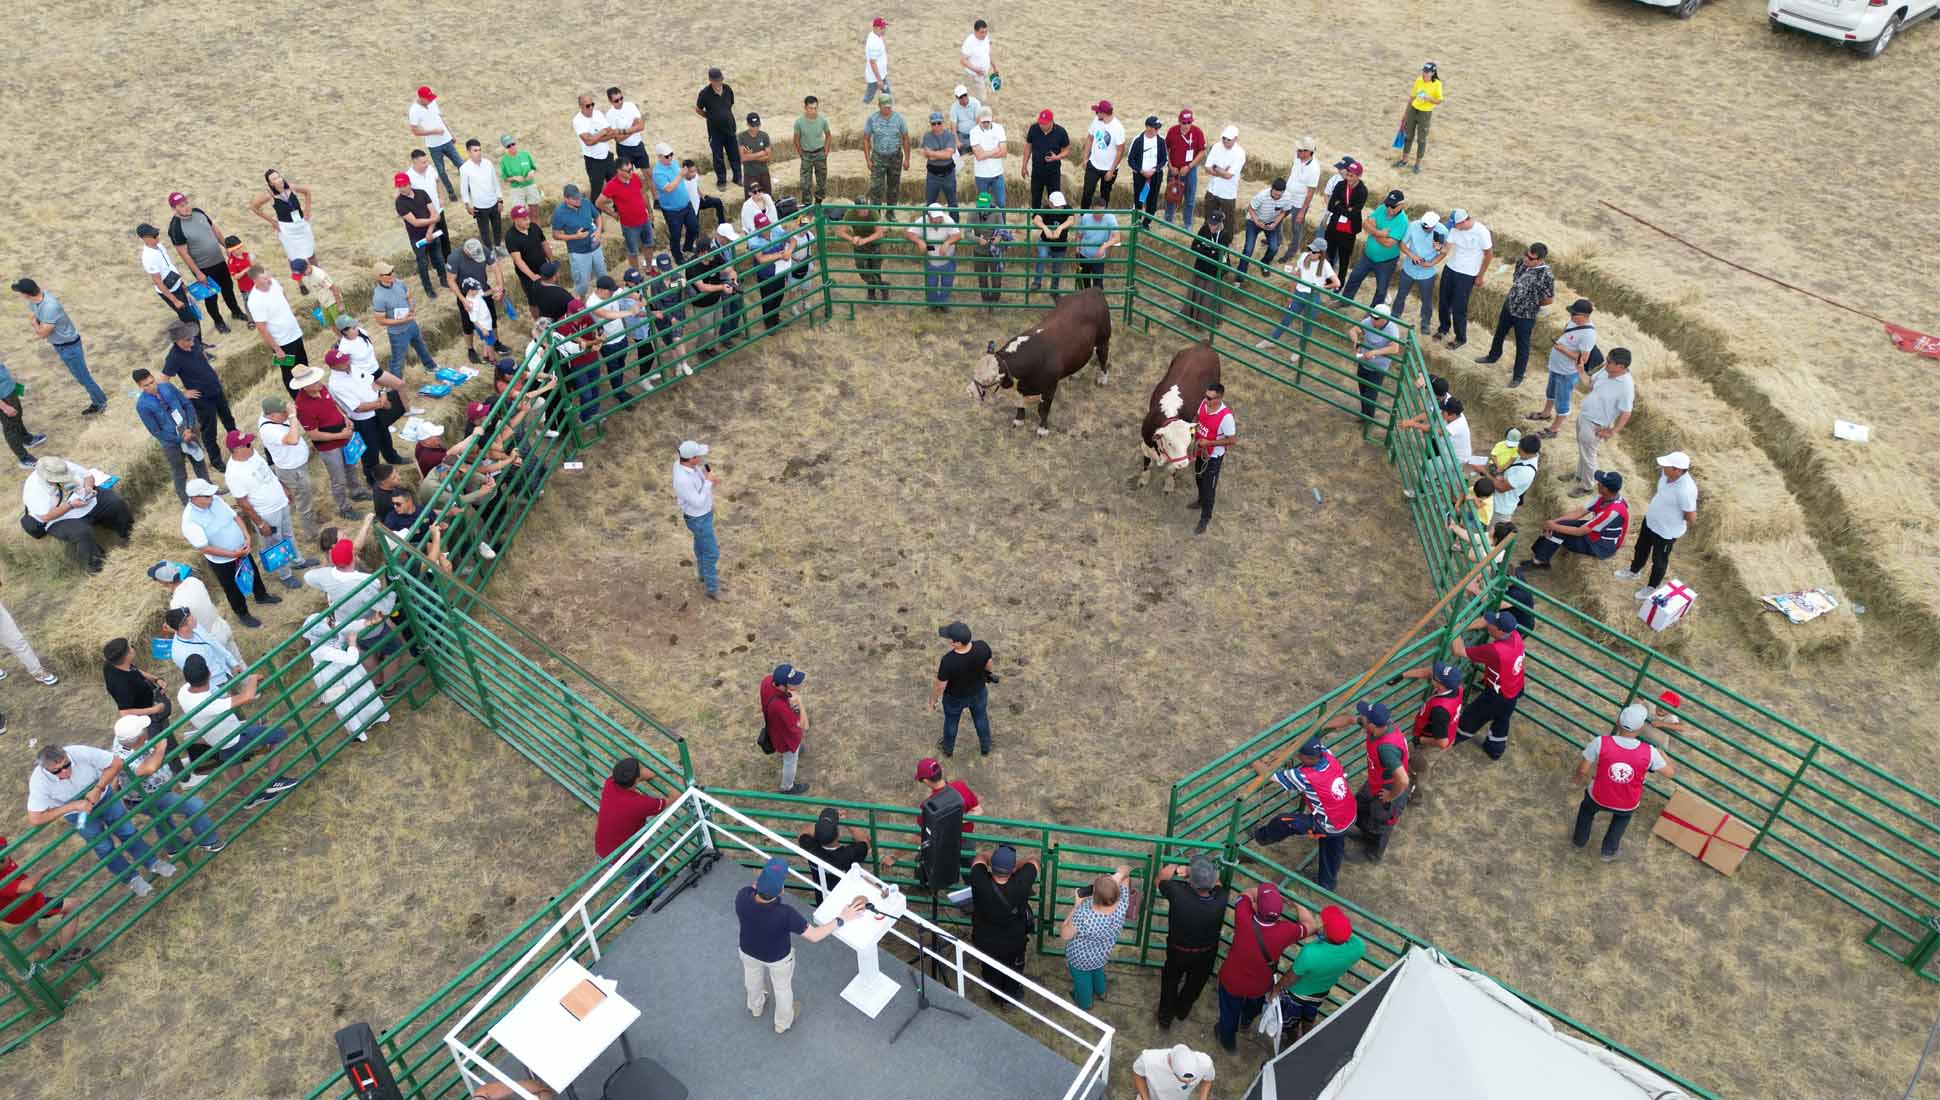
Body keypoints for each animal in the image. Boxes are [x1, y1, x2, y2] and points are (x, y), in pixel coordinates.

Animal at [966, 287, 1117, 436]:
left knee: (1103, 359)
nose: (969, 391)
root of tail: (1093, 290)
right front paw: (1019, 420)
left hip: (1103, 341)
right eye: (974, 372)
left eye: (989, 379)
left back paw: (1102, 379)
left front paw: (1043, 429)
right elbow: (1020, 404)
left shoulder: (1050, 386)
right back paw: (1076, 374)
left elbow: (1043, 408)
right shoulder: (1021, 387)